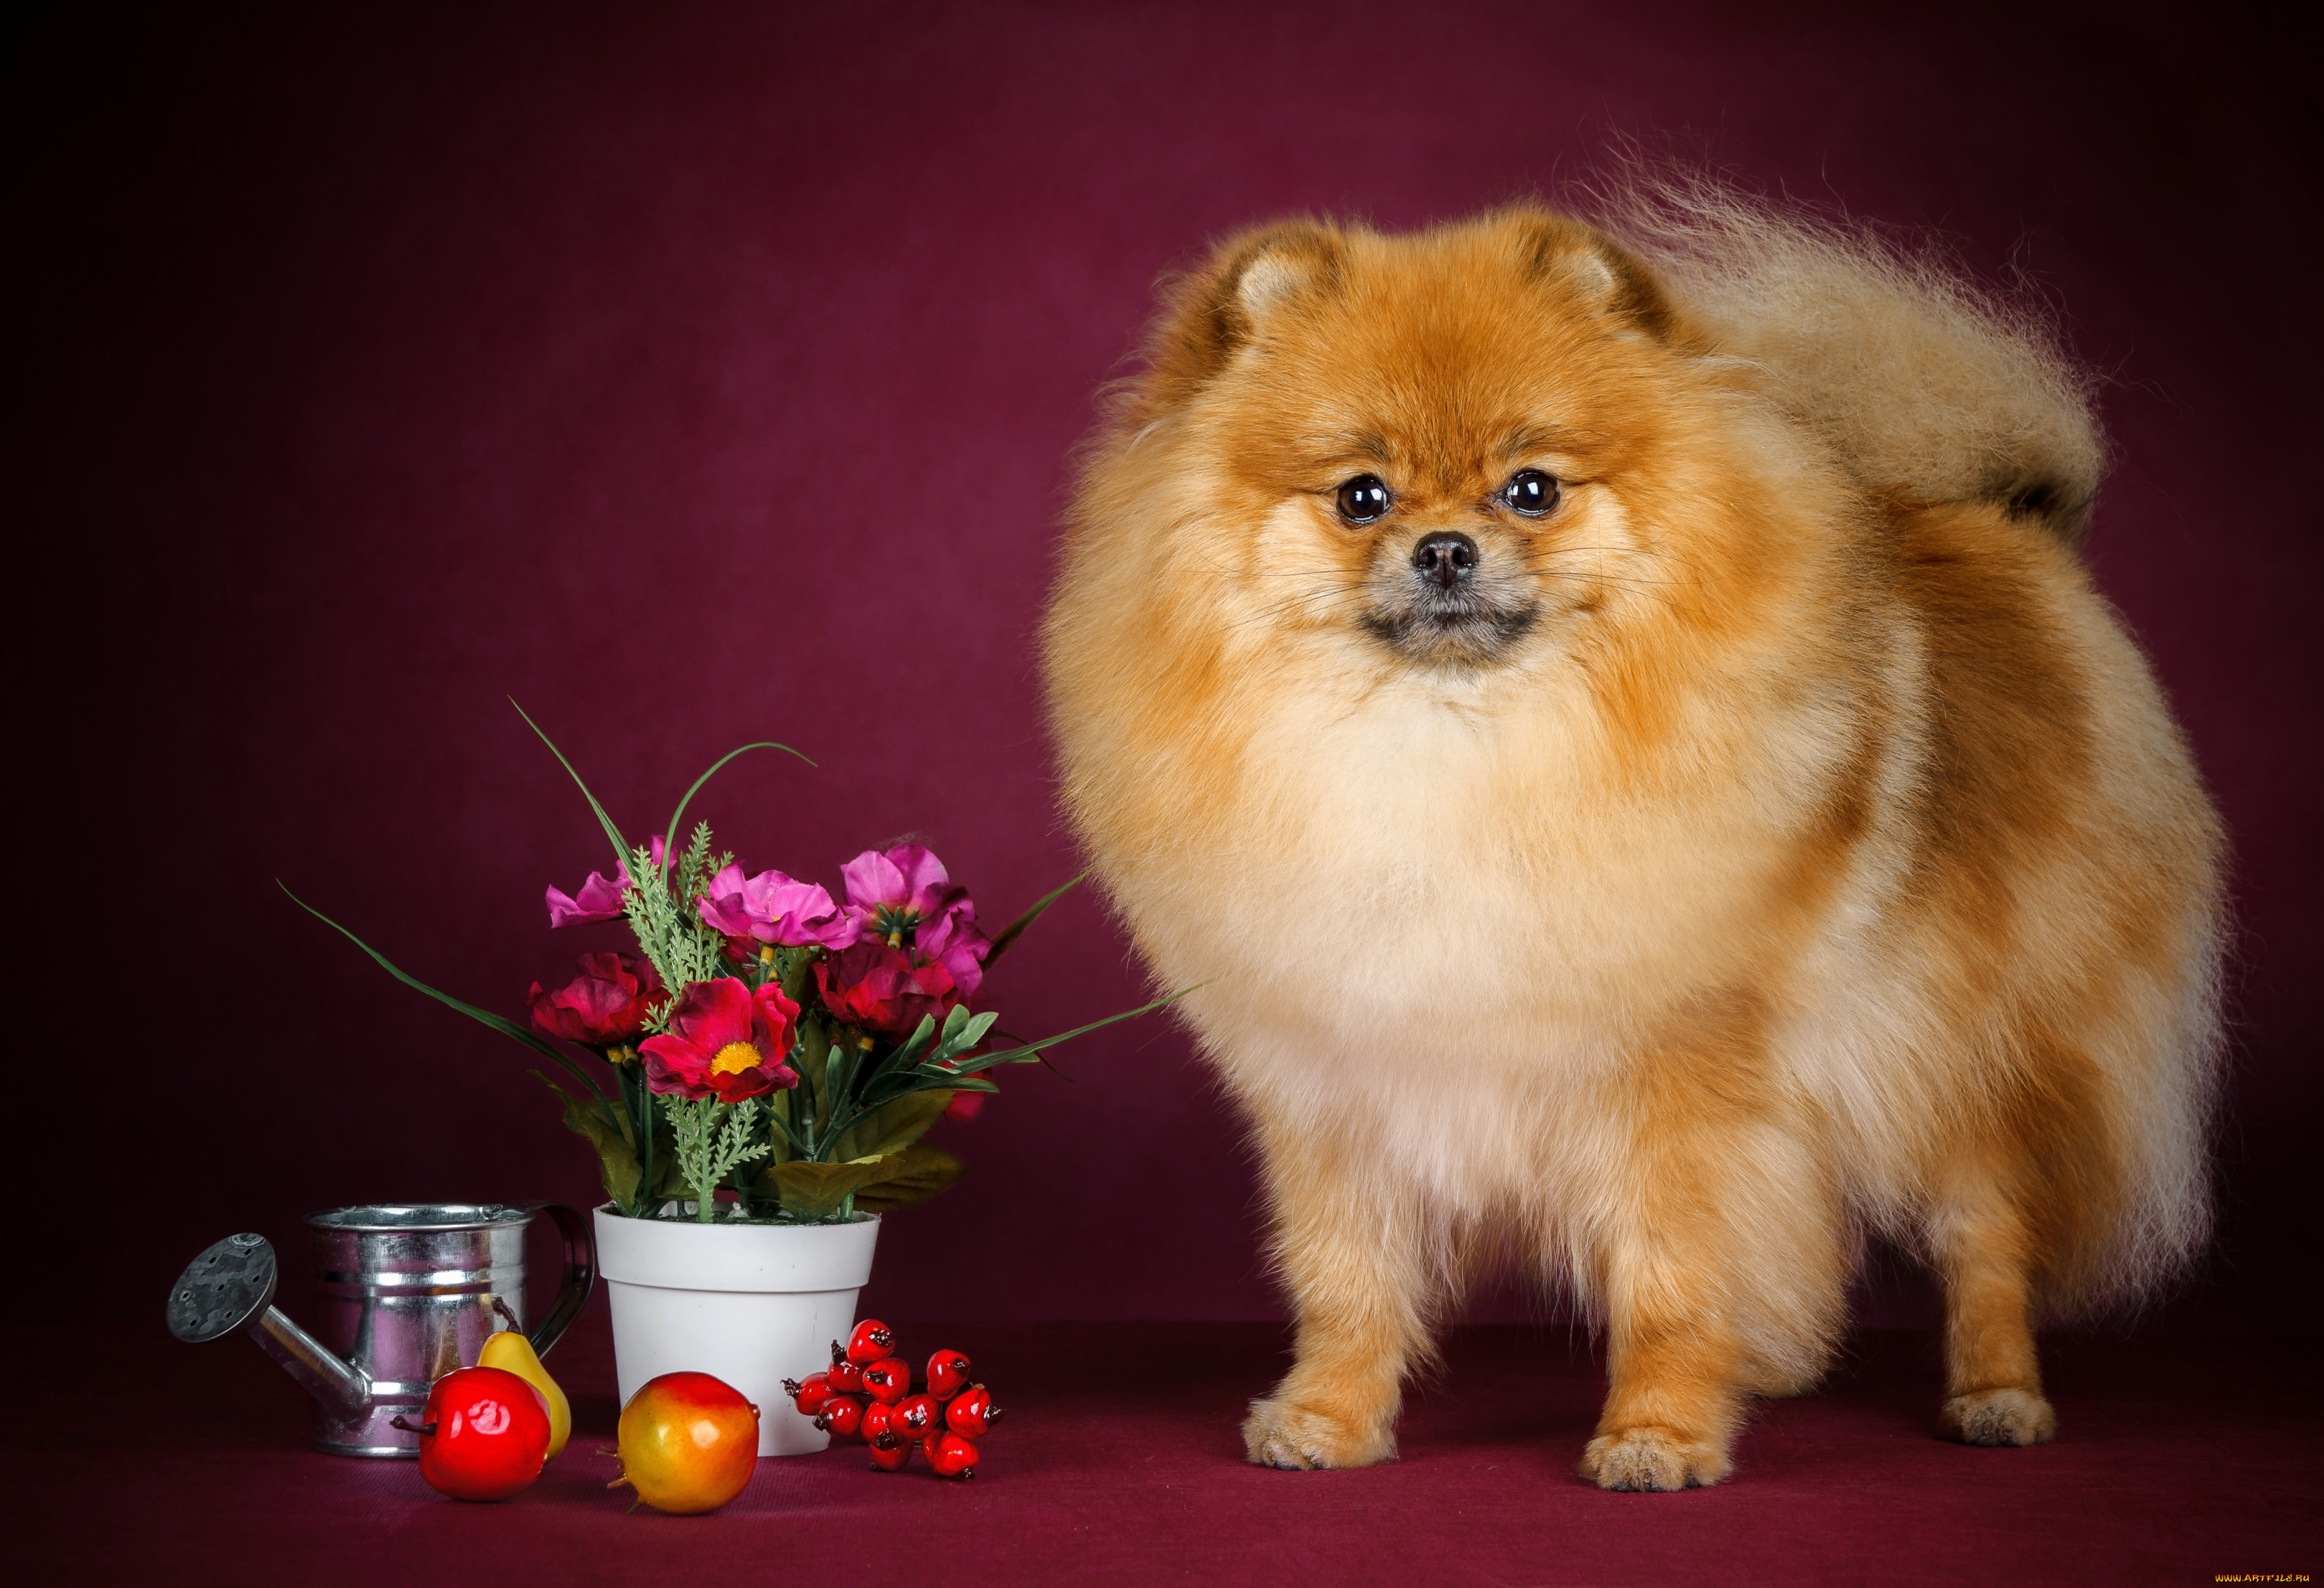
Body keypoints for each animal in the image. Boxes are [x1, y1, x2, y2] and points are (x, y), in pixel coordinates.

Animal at [1046, 176, 2222, 1488]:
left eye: (1532, 488)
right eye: (1361, 496)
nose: (1444, 548)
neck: (1452, 753)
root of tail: (2012, 527)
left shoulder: (1676, 1075)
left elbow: (1671, 1271)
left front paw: (1658, 1430)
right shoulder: (1344, 1076)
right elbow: (1346, 1278)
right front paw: (1327, 1417)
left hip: (1950, 1055)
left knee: (1988, 1231)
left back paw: (1995, 1394)